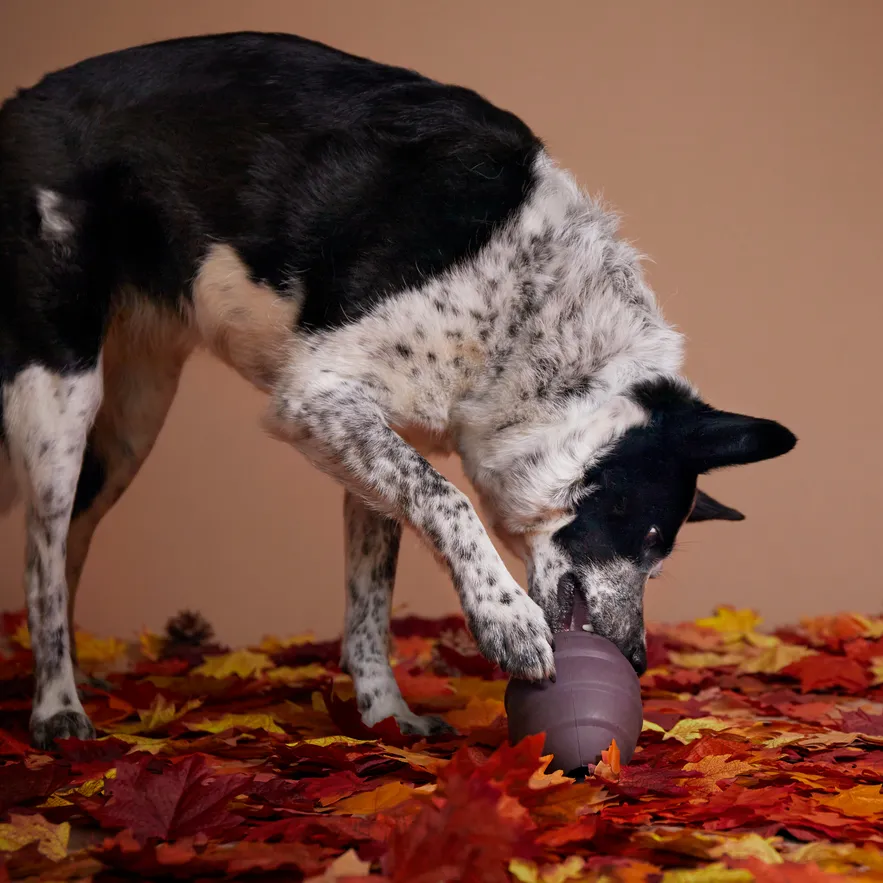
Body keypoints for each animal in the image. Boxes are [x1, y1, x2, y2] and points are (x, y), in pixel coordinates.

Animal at [0, 32, 796, 744]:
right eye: (652, 534)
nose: (633, 661)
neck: (529, 313)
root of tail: (24, 100)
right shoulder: (316, 400)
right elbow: (448, 502)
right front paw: (504, 621)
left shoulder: (370, 441)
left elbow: (371, 600)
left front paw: (387, 716)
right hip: (59, 396)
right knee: (41, 560)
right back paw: (57, 708)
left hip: (134, 417)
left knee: (72, 542)